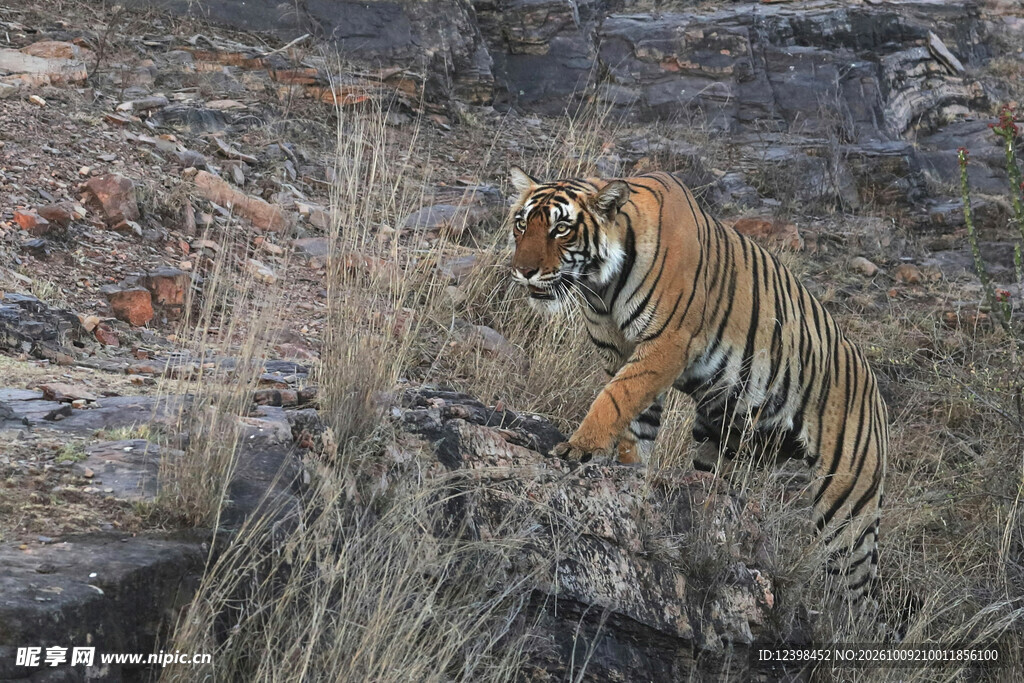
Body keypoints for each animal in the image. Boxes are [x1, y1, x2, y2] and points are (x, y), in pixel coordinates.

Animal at [506, 167, 888, 605]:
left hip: (846, 508)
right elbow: (634, 424)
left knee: (854, 591)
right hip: (723, 442)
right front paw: (630, 474)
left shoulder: (665, 345)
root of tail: (876, 389)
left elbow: (614, 399)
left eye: (561, 229)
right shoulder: (622, 354)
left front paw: (580, 447)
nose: (523, 270)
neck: (602, 288)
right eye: (522, 224)